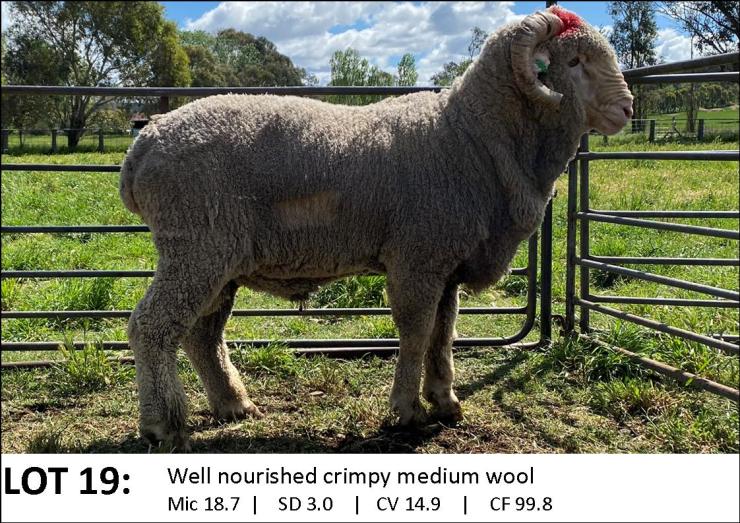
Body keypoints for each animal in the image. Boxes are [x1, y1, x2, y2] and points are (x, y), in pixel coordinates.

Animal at [119, 6, 633, 449]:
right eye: (575, 61)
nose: (627, 109)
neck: (472, 135)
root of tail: (144, 143)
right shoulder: (418, 257)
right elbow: (416, 331)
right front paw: (407, 411)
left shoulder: (446, 264)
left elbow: (443, 334)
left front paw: (446, 402)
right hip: (195, 246)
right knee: (152, 326)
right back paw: (162, 424)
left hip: (217, 259)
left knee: (202, 335)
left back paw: (234, 405)